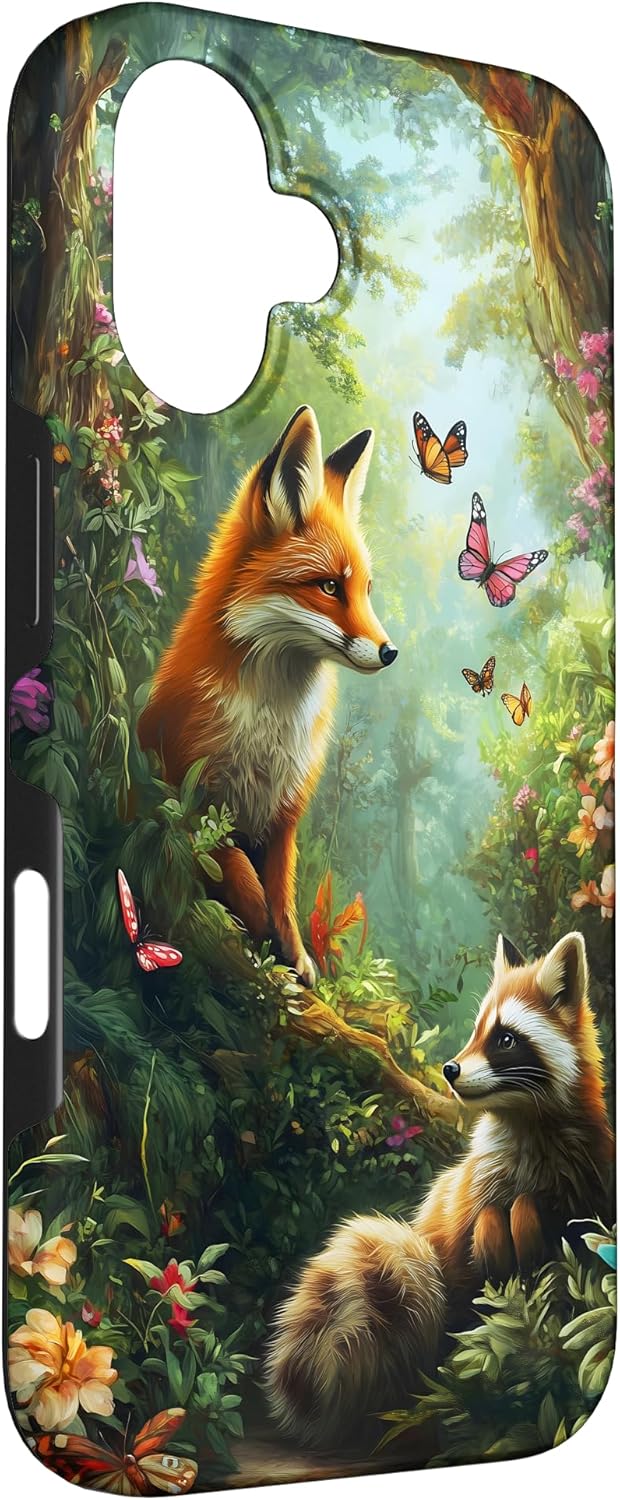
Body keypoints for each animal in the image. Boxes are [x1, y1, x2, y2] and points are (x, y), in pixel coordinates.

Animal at [138, 405, 397, 986]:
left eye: (366, 590)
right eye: (329, 587)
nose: (390, 651)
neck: (268, 727)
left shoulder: (285, 814)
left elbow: (281, 891)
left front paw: (293, 953)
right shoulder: (187, 791)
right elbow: (236, 871)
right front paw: (257, 933)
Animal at [265, 930, 614, 1448]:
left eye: (505, 1039)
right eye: (475, 1032)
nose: (449, 1069)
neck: (525, 1125)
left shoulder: (588, 1185)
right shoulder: (471, 1199)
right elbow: (474, 1254)